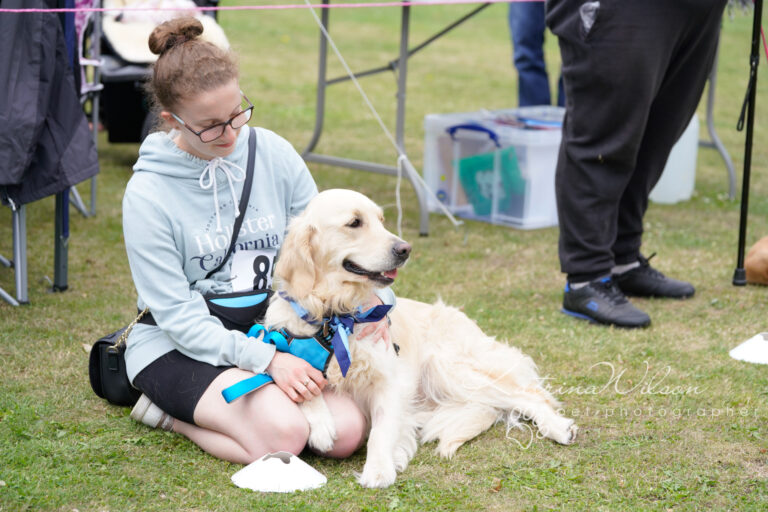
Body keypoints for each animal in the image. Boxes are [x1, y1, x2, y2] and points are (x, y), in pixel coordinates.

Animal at [264, 188, 576, 488]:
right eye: (354, 223)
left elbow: (381, 430)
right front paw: (322, 426)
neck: (336, 315)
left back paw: (559, 428)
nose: (405, 249)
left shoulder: (390, 379)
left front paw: (378, 470)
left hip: (449, 367)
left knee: (528, 396)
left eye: (382, 220)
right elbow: (304, 386)